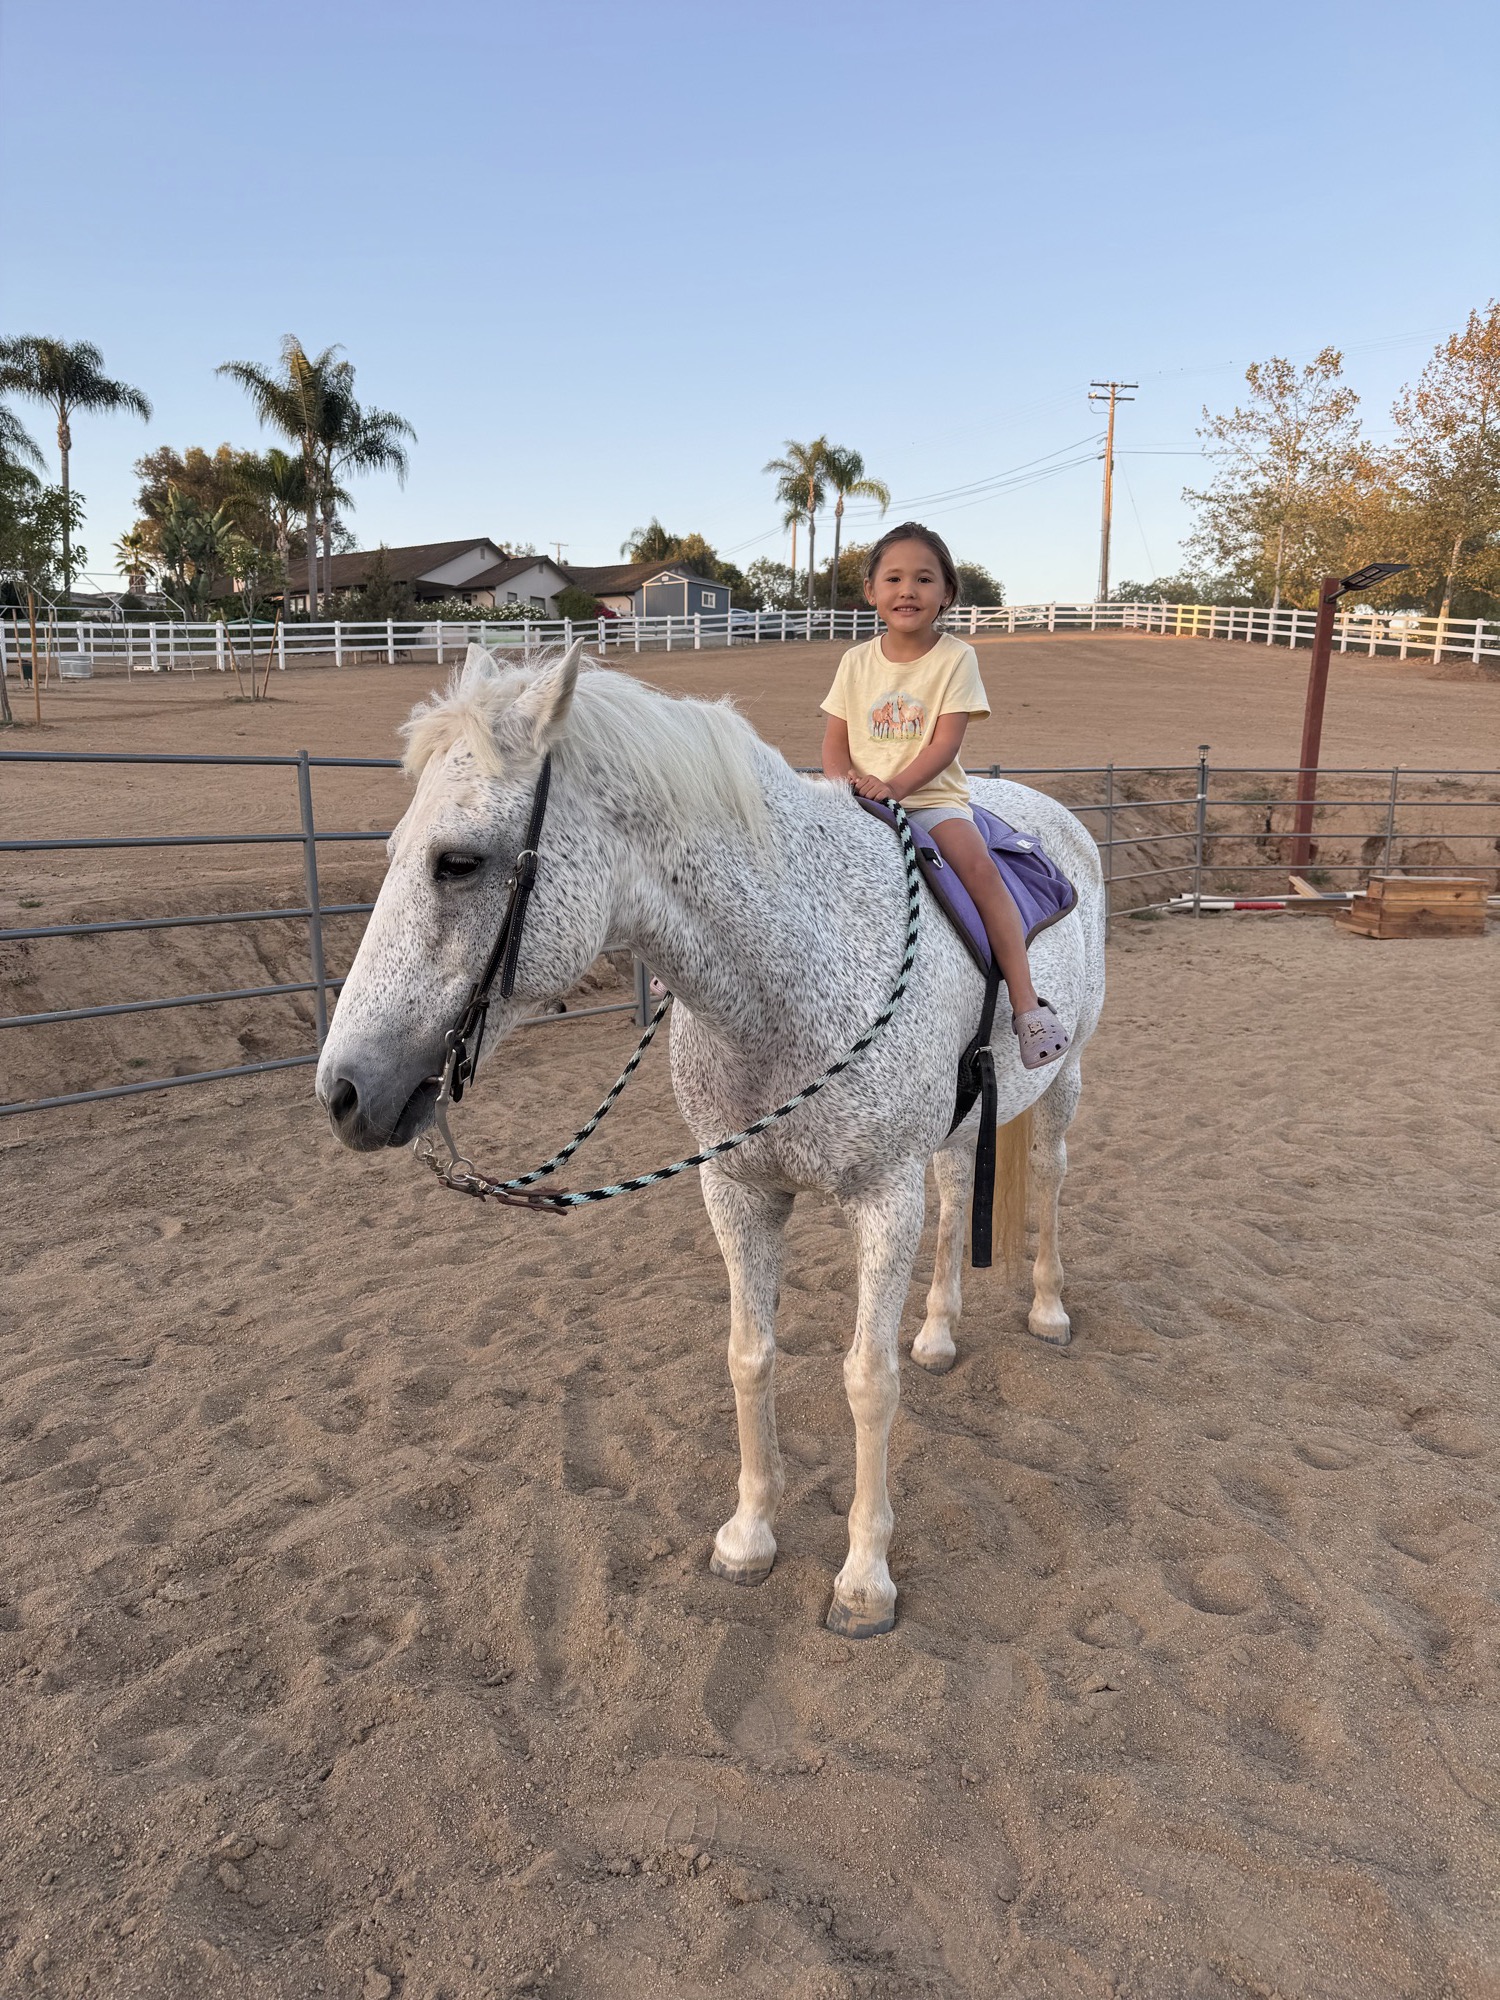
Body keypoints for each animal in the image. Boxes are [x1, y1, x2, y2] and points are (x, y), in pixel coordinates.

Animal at [317, 644, 1106, 1638]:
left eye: (457, 862)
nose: (343, 1092)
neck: (786, 976)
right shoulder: (737, 1192)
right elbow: (749, 1357)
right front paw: (748, 1537)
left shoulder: (882, 1198)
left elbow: (866, 1380)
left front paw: (864, 1579)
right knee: (964, 1189)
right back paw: (937, 1332)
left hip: (1064, 1079)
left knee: (1047, 1173)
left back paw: (1047, 1309)